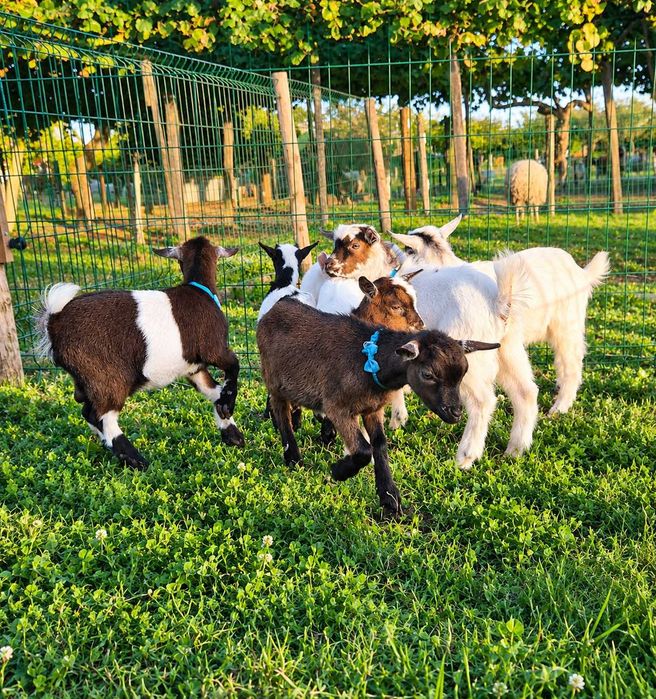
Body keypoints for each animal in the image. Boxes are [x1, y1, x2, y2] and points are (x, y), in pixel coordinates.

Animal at [35, 236, 245, 468]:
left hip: (86, 379)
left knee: (87, 411)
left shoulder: (193, 368)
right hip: (108, 379)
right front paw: (228, 405)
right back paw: (135, 459)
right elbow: (234, 366)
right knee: (101, 415)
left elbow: (214, 391)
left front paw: (232, 434)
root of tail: (54, 323)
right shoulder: (213, 350)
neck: (199, 290)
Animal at [256, 297, 499, 517]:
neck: (369, 361)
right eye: (428, 374)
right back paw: (293, 457)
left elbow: (379, 445)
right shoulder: (337, 407)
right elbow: (363, 450)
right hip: (273, 378)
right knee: (281, 411)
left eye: (464, 373)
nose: (455, 413)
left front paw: (390, 500)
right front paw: (339, 471)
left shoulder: (373, 409)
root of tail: (278, 305)